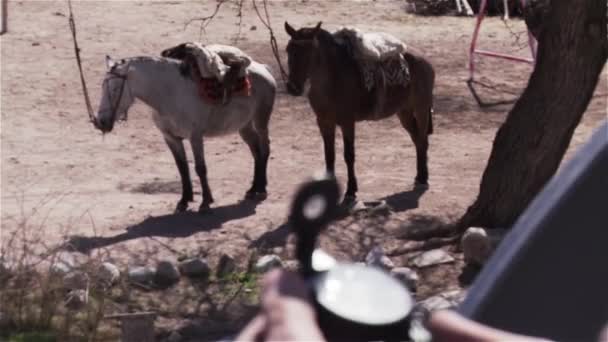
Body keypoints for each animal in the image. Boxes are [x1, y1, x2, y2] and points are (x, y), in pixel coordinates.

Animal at [92, 54, 276, 212]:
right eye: (103, 87)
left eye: (115, 89)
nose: (101, 122)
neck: (169, 94)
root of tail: (264, 68)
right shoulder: (170, 138)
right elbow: (182, 167)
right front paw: (184, 201)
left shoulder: (195, 137)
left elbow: (200, 168)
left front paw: (205, 202)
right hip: (244, 126)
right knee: (256, 151)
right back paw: (253, 188)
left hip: (261, 121)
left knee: (265, 150)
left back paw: (261, 189)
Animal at [282, 22, 434, 204]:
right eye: (289, 50)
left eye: (309, 52)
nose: (293, 87)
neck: (332, 78)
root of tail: (424, 59)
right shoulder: (324, 122)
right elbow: (329, 155)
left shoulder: (347, 122)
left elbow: (349, 155)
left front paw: (351, 191)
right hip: (404, 112)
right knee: (417, 140)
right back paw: (419, 176)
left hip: (421, 108)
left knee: (423, 140)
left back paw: (423, 178)